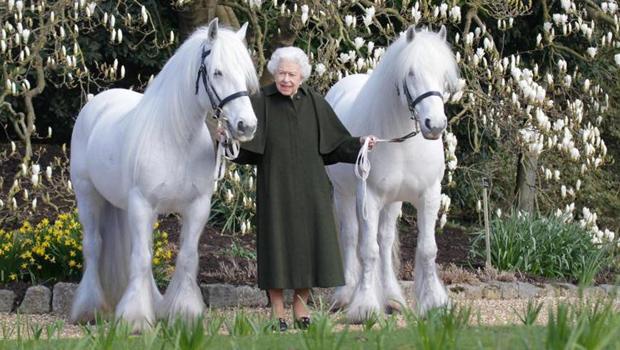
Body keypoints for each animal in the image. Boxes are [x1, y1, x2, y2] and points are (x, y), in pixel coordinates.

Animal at [69, 18, 258, 330]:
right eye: (217, 72)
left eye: (244, 74)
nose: (247, 125)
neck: (175, 138)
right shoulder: (142, 204)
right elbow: (141, 259)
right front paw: (134, 318)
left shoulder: (197, 207)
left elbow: (186, 257)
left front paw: (184, 313)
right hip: (88, 196)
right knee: (94, 246)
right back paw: (89, 309)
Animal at [326, 26, 458, 322]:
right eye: (411, 73)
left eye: (443, 74)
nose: (435, 125)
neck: (402, 142)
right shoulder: (369, 197)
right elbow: (367, 250)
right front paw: (364, 307)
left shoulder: (429, 195)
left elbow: (426, 249)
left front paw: (434, 303)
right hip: (344, 195)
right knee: (351, 237)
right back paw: (345, 295)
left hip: (393, 201)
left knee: (385, 241)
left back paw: (392, 299)